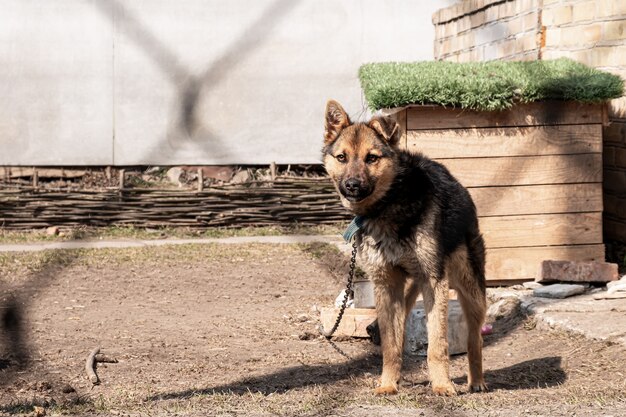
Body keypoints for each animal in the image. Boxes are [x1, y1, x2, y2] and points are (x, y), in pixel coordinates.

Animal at [322, 99, 488, 394]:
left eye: (371, 158)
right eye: (342, 158)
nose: (352, 185)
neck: (389, 203)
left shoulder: (434, 281)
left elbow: (437, 344)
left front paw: (442, 385)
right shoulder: (386, 284)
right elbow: (391, 345)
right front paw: (388, 384)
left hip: (472, 291)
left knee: (474, 337)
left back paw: (476, 380)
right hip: (408, 290)